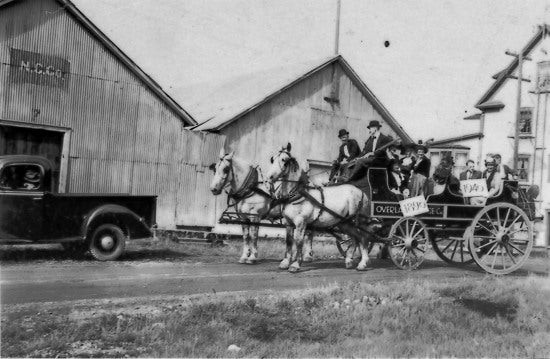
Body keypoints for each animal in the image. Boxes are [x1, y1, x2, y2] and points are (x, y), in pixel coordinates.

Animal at [268, 143, 376, 272]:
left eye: (284, 160)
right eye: (272, 159)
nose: (269, 177)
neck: (297, 195)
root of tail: (361, 192)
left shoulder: (301, 223)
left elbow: (298, 241)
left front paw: (295, 264)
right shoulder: (288, 223)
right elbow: (289, 242)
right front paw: (285, 263)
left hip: (359, 221)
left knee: (363, 238)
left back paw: (363, 263)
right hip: (344, 223)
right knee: (355, 237)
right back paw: (349, 260)